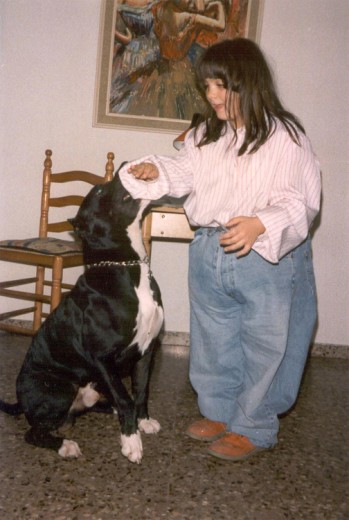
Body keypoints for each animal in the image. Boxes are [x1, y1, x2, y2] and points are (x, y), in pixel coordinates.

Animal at [0, 171, 164, 464]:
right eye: (98, 191)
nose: (123, 166)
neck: (125, 265)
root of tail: (21, 402)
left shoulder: (146, 353)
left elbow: (140, 391)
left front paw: (143, 420)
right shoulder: (103, 359)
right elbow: (125, 398)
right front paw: (131, 440)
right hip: (60, 387)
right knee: (34, 432)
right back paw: (65, 445)